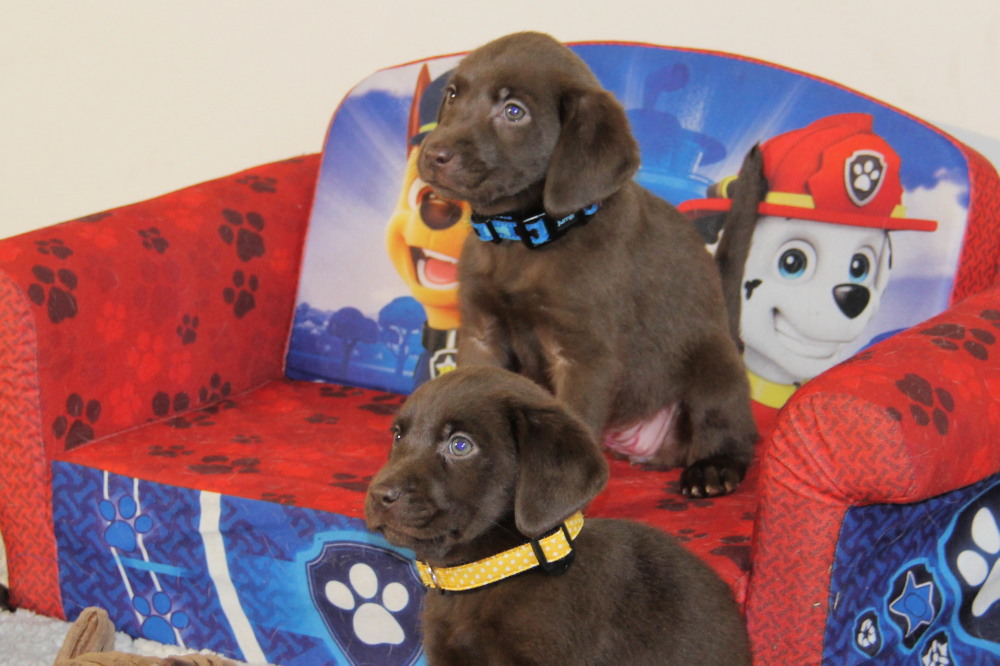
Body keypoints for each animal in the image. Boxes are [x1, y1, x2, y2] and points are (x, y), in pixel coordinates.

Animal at [416, 33, 756, 496]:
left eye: (514, 111)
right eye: (453, 94)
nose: (433, 153)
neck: (523, 238)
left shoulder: (584, 357)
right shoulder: (480, 334)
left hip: (714, 366)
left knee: (733, 432)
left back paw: (713, 470)